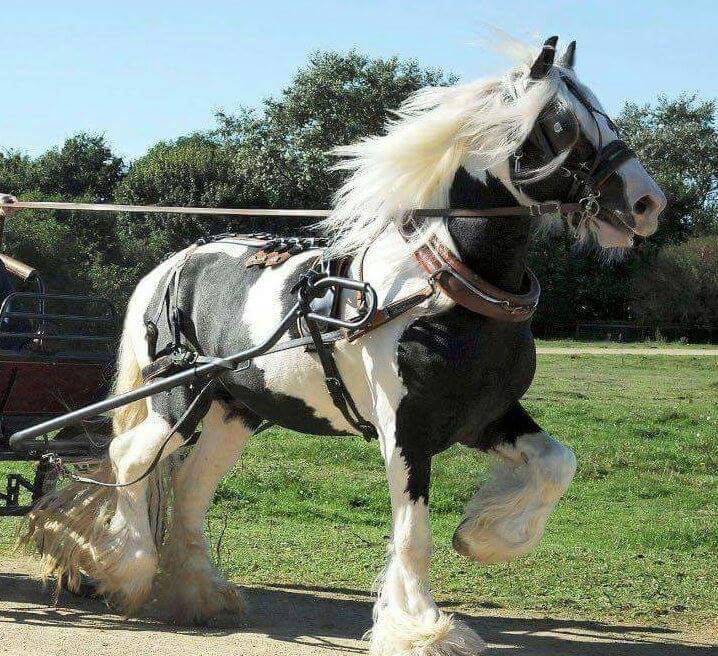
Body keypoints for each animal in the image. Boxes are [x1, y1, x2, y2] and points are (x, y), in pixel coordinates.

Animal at [24, 35, 665, 656]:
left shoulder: (487, 415)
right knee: (131, 458)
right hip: (179, 400)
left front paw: (484, 537)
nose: (647, 203)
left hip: (233, 410)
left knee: (190, 487)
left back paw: (200, 594)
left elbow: (557, 464)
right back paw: (126, 570)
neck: (441, 288)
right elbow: (413, 530)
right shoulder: (405, 430)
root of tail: (171, 267)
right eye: (560, 126)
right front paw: (423, 628)